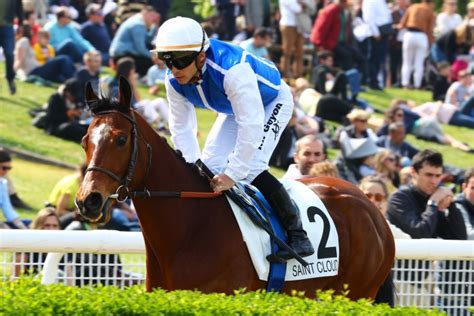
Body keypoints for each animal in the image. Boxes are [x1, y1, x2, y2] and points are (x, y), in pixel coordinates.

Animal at [76, 78, 394, 300]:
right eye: (85, 141)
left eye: (120, 139)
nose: (88, 200)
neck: (192, 226)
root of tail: (373, 209)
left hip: (356, 294)